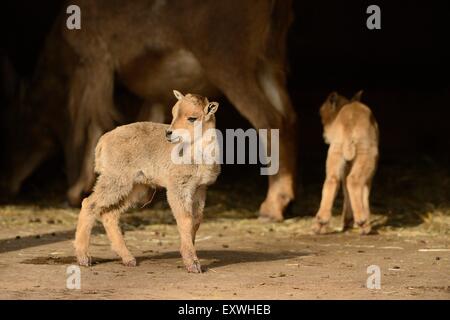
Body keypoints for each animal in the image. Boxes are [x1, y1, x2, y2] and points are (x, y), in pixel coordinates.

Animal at [73, 91, 220, 274]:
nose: (169, 133)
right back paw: (84, 258)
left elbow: (196, 220)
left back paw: (128, 259)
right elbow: (185, 220)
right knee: (89, 203)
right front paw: (192, 264)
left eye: (192, 118)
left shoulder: (200, 188)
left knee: (109, 213)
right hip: (116, 179)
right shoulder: (177, 187)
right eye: (173, 113)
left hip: (135, 186)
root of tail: (102, 142)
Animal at [312, 92, 380, 235]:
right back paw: (363, 223)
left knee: (331, 181)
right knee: (354, 181)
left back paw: (320, 224)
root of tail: (350, 123)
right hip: (366, 158)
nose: (324, 136)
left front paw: (347, 222)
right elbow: (365, 193)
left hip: (335, 156)